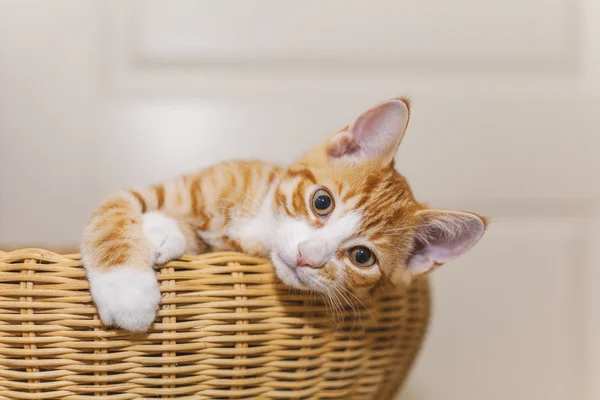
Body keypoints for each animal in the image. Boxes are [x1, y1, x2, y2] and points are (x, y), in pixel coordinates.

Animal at [82, 97, 486, 332]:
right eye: (322, 202)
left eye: (362, 257)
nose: (308, 256)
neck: (259, 222)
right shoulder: (145, 192)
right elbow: (113, 214)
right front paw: (126, 290)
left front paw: (165, 234)